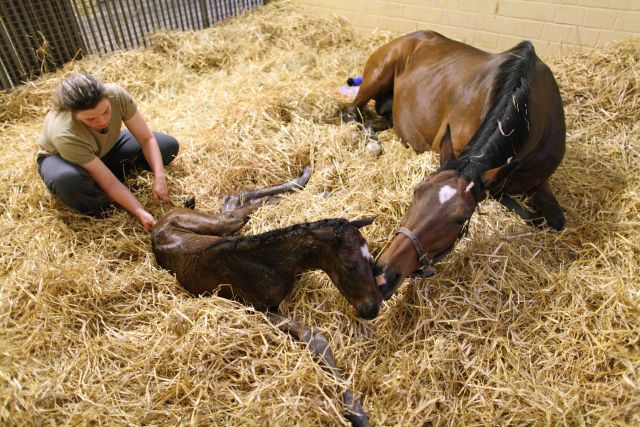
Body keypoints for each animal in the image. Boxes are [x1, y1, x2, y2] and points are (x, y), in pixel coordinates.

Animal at [151, 166, 380, 424]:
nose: (372, 308)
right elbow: (315, 337)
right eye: (350, 266)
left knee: (236, 200)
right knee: (239, 202)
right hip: (219, 224)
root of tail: (158, 225)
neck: (272, 261)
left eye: (371, 259)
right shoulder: (260, 309)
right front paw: (356, 411)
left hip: (220, 226)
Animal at [344, 30, 564, 300]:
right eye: (415, 192)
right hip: (375, 78)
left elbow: (554, 220)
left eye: (460, 219)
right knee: (351, 112)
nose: (382, 275)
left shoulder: (538, 181)